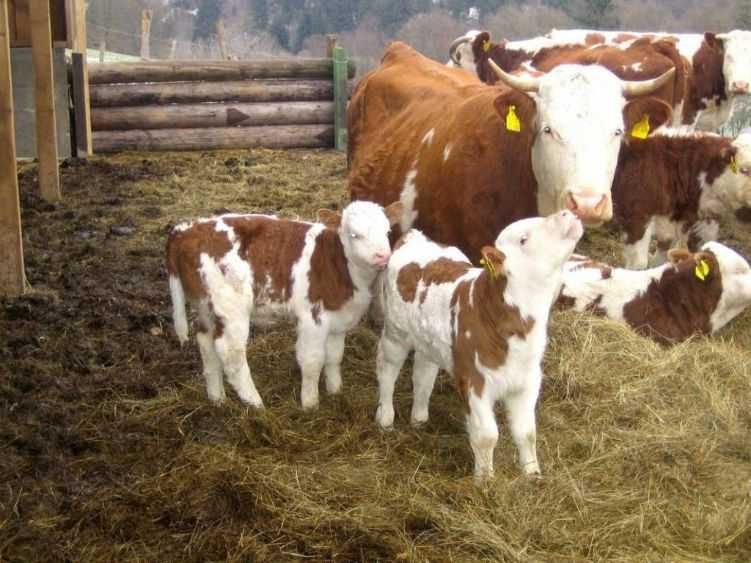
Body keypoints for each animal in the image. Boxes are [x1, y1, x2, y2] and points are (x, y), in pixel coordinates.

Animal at [164, 202, 400, 410]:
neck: (339, 262)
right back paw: (256, 404)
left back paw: (217, 399)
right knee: (231, 354)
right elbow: (312, 361)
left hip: (205, 306)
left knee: (206, 345)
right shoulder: (312, 318)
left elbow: (334, 356)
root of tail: (186, 229)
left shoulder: (338, 317)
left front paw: (335, 391)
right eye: (354, 234)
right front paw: (310, 404)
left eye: (387, 231)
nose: (382, 256)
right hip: (231, 308)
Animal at [378, 210, 584, 480]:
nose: (567, 212)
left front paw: (532, 474)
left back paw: (419, 419)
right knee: (387, 370)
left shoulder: (527, 381)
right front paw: (485, 480)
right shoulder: (474, 381)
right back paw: (385, 419)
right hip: (396, 332)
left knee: (423, 374)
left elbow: (527, 433)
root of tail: (415, 238)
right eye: (524, 239)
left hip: (428, 341)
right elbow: (487, 436)